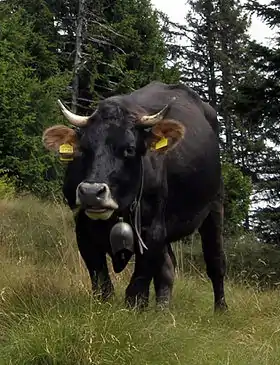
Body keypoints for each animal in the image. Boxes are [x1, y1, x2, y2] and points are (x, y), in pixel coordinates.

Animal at [42, 82, 229, 310]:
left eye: (129, 149)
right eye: (83, 149)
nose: (91, 193)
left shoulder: (153, 229)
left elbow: (138, 284)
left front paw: (133, 311)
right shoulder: (83, 229)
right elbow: (101, 281)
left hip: (215, 205)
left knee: (215, 261)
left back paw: (221, 309)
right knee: (167, 266)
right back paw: (162, 311)